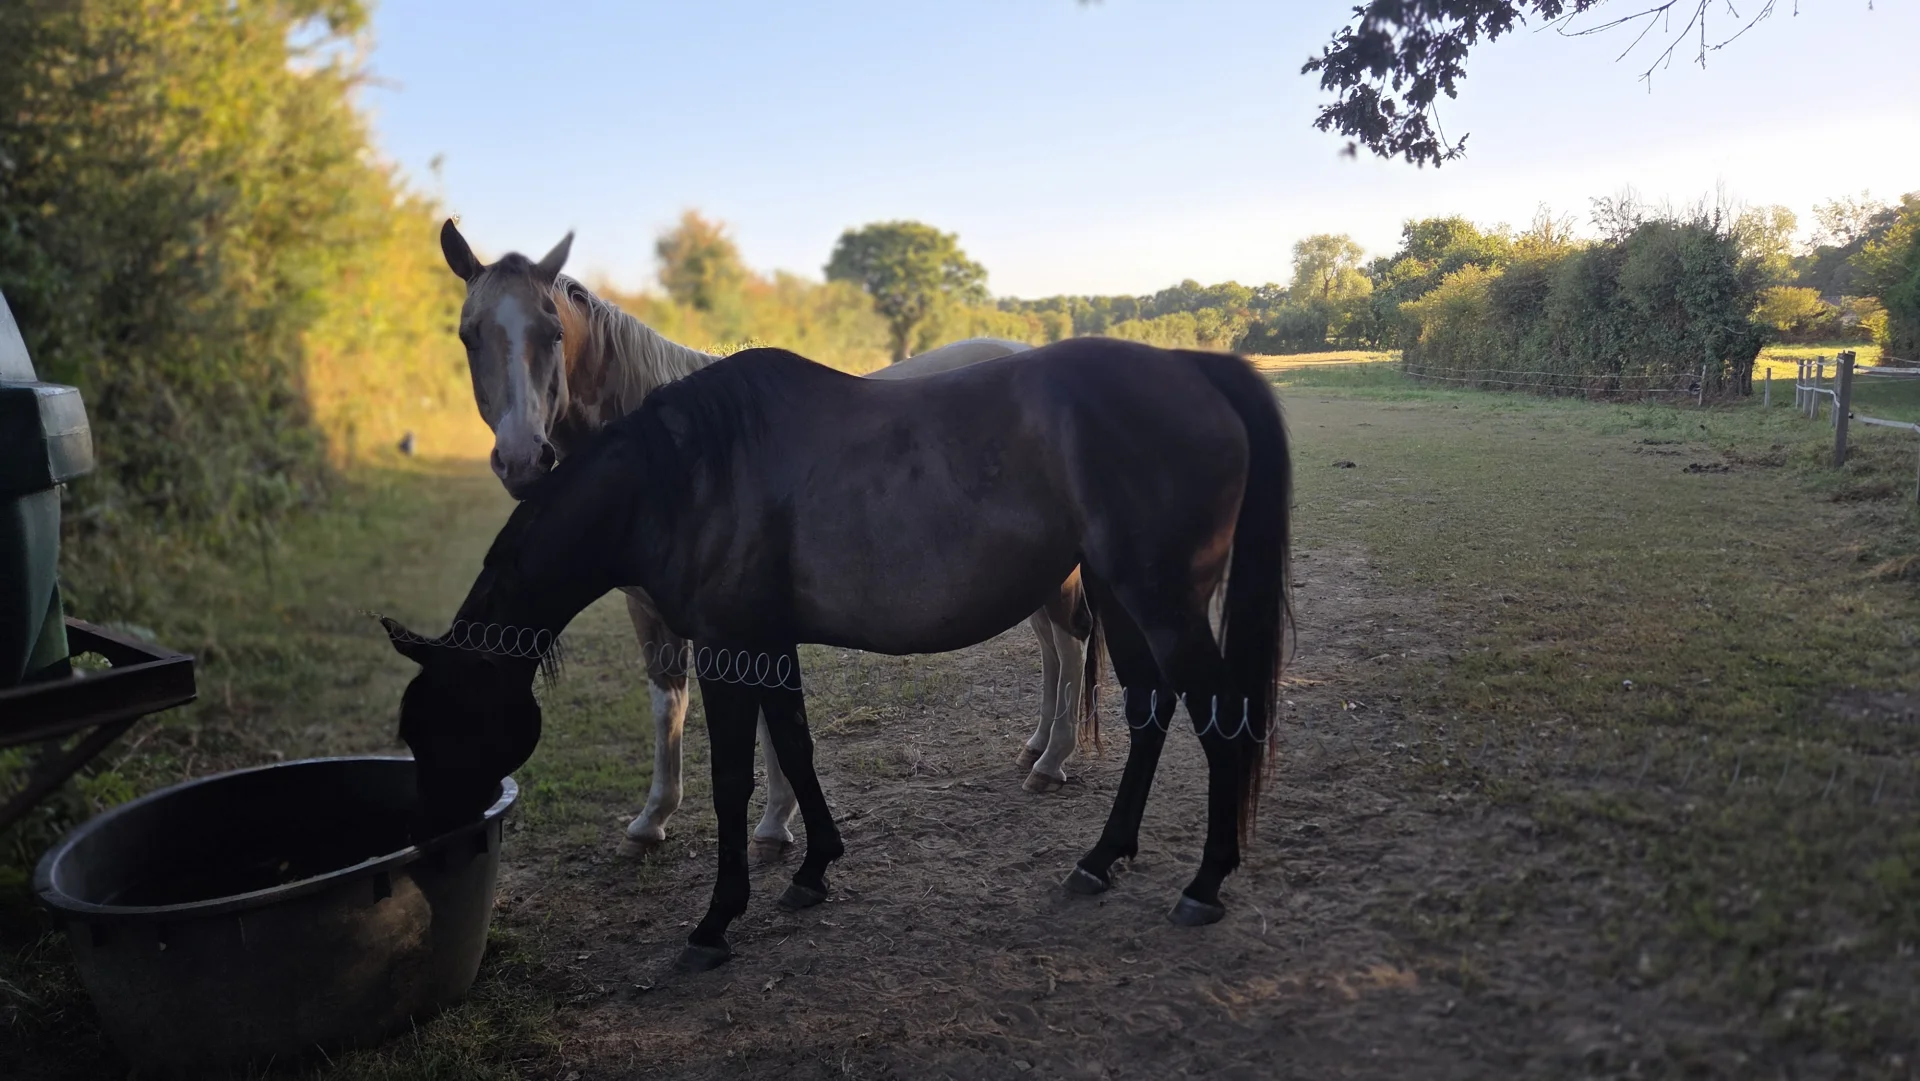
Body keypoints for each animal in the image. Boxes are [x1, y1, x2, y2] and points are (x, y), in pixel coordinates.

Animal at [381, 335, 1291, 973]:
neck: (683, 475)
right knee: (1149, 711)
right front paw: (813, 866)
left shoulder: (725, 649)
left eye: (450, 726)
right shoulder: (765, 643)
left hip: (1159, 603)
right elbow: (795, 746)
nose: (434, 857)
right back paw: (1101, 858)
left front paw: (717, 919)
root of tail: (1193, 368)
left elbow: (735, 777)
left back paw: (1204, 882)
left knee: (1220, 719)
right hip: (1124, 601)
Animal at [436, 221, 1087, 864]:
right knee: (1052, 647)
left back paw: (1054, 761)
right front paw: (654, 818)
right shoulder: (649, 608)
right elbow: (667, 702)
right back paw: (1036, 745)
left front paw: (774, 823)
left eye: (551, 332)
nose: (523, 460)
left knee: (1072, 643)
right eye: (469, 335)